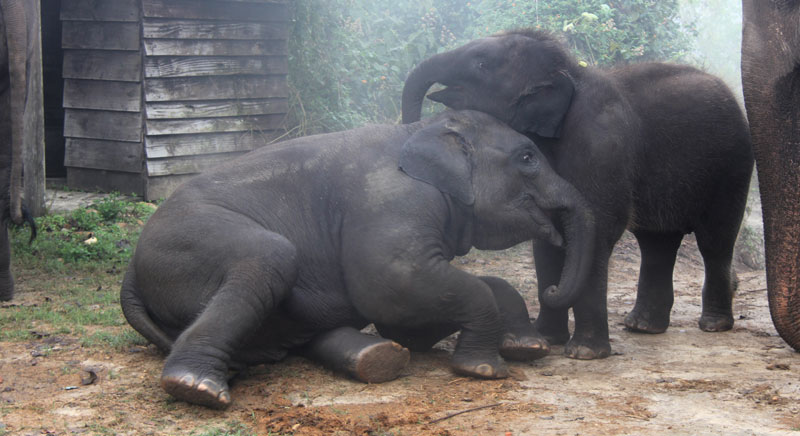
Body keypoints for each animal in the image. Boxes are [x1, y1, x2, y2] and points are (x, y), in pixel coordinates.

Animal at [119, 109, 592, 408]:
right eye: (528, 157)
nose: (552, 287)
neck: (420, 128)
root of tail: (129, 274)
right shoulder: (390, 199)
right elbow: (392, 284)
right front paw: (484, 370)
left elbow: (408, 318)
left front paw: (527, 348)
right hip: (186, 245)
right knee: (271, 255)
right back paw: (196, 387)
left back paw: (375, 357)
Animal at [404, 29, 752, 360]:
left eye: (480, 64)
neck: (571, 70)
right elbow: (548, 240)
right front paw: (548, 337)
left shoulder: (601, 146)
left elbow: (597, 230)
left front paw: (584, 353)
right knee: (657, 243)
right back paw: (642, 326)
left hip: (733, 168)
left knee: (715, 241)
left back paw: (713, 325)